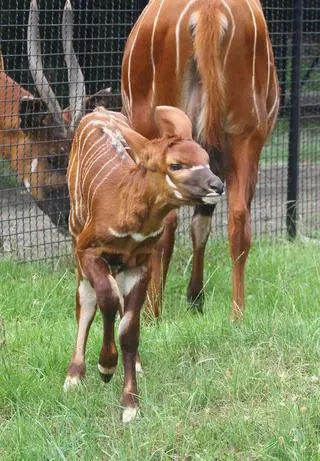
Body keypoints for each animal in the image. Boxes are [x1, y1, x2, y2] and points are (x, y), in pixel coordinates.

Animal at [64, 106, 225, 422]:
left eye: (205, 159)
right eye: (176, 164)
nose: (217, 185)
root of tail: (98, 111)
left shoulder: (140, 264)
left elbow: (130, 330)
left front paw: (130, 404)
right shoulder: (88, 251)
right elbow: (104, 300)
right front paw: (105, 367)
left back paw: (135, 365)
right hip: (78, 238)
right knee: (86, 303)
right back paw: (75, 375)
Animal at [121, 0, 278, 320]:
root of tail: (209, 11)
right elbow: (203, 225)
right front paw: (195, 298)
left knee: (166, 223)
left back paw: (152, 311)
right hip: (245, 136)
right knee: (238, 219)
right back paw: (237, 314)